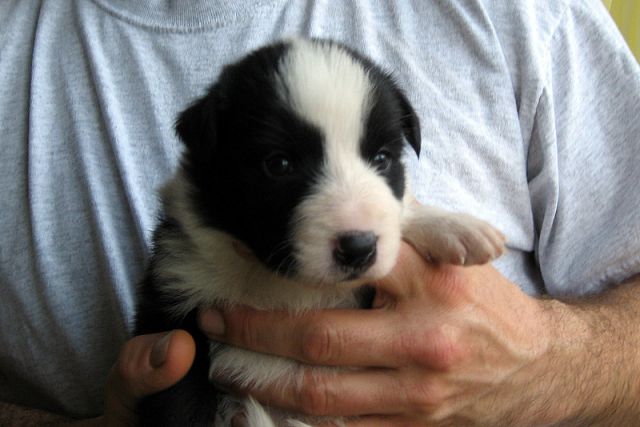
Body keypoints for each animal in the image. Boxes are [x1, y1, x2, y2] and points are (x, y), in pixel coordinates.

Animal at [135, 38, 504, 426]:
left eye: (382, 158)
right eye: (279, 164)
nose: (359, 248)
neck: (282, 284)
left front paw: (454, 226)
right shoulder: (174, 308)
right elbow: (181, 403)